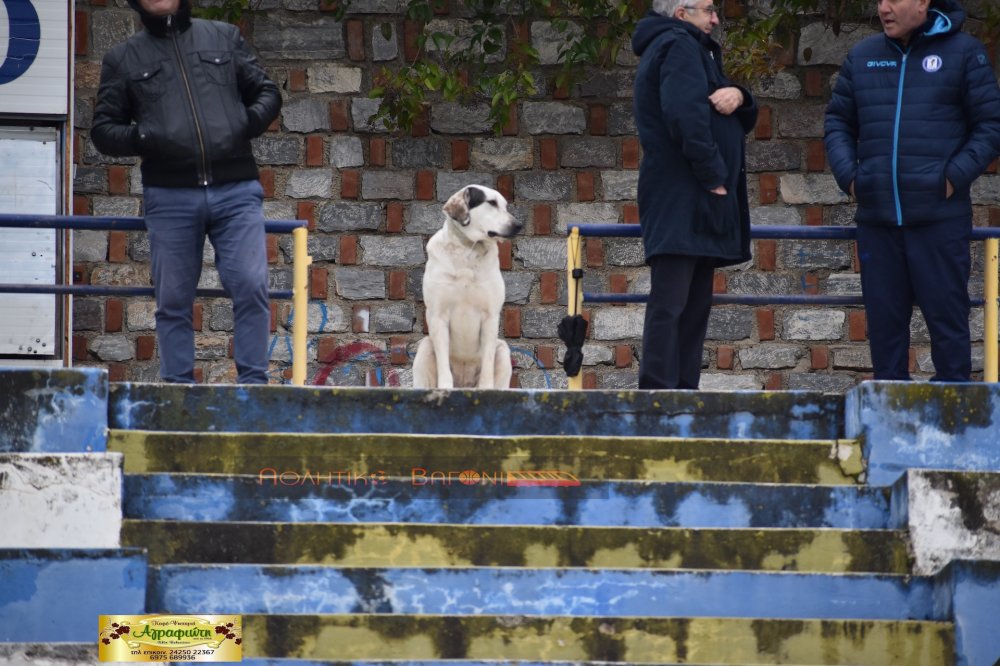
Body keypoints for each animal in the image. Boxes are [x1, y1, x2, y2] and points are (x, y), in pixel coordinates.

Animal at [412, 184, 524, 386]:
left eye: (505, 206)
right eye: (491, 203)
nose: (518, 224)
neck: (467, 250)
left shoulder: (490, 317)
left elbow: (487, 364)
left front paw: (486, 388)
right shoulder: (438, 316)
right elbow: (443, 366)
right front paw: (444, 388)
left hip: (503, 350)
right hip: (425, 347)